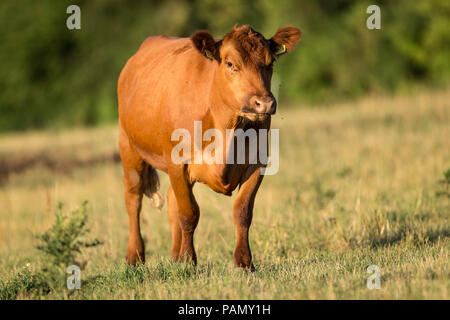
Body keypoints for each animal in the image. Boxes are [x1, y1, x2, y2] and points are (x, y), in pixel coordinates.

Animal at [119, 25, 302, 270]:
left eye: (270, 61)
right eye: (230, 63)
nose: (264, 103)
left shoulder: (257, 162)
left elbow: (242, 211)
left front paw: (244, 262)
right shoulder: (177, 162)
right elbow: (189, 214)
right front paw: (189, 260)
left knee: (171, 201)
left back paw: (174, 257)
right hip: (129, 147)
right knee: (133, 199)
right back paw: (135, 256)